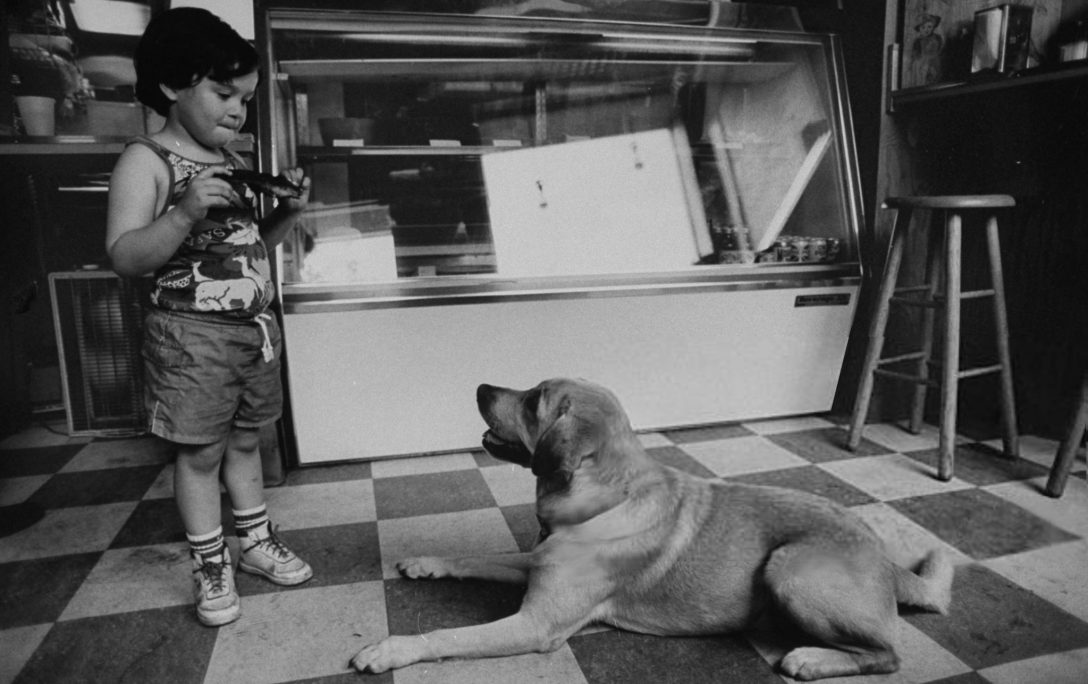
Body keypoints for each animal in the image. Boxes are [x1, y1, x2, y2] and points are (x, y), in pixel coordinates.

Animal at [351, 378, 953, 679]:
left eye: (534, 399)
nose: (478, 385)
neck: (599, 501)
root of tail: (883, 555)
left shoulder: (535, 625)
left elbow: (448, 637)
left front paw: (391, 650)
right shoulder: (535, 563)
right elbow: (478, 558)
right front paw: (428, 561)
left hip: (790, 568)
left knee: (887, 653)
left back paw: (812, 658)